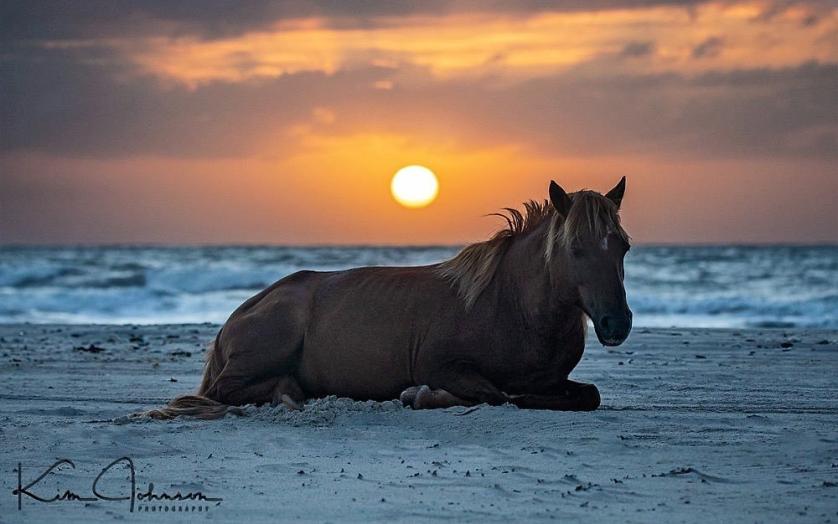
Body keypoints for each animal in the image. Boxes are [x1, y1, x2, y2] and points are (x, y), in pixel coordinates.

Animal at [148, 178, 632, 419]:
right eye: (575, 249)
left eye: (623, 246)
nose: (617, 323)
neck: (511, 306)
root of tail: (242, 312)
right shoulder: (442, 365)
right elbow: (498, 396)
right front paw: (420, 396)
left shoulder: (553, 379)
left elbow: (586, 395)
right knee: (228, 389)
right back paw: (287, 392)